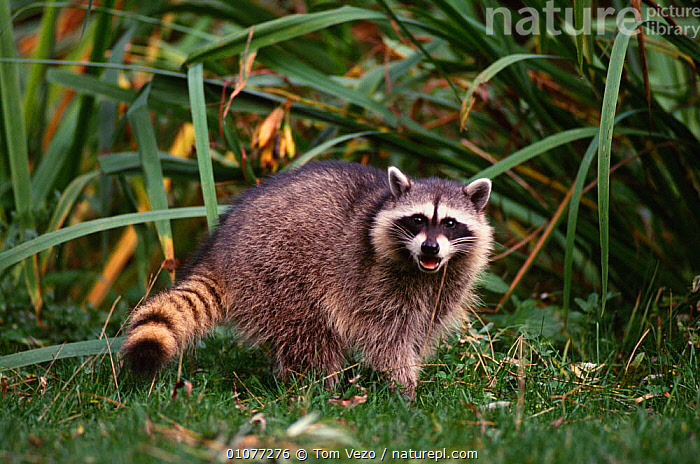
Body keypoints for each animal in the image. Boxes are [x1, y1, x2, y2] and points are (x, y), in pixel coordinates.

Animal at [121, 161, 493, 397]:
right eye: (417, 219)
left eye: (449, 223)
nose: (430, 247)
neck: (424, 269)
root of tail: (221, 249)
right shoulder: (374, 281)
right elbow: (387, 336)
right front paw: (402, 385)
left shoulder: (445, 284)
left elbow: (419, 330)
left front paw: (409, 374)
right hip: (278, 269)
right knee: (310, 333)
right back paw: (317, 389)